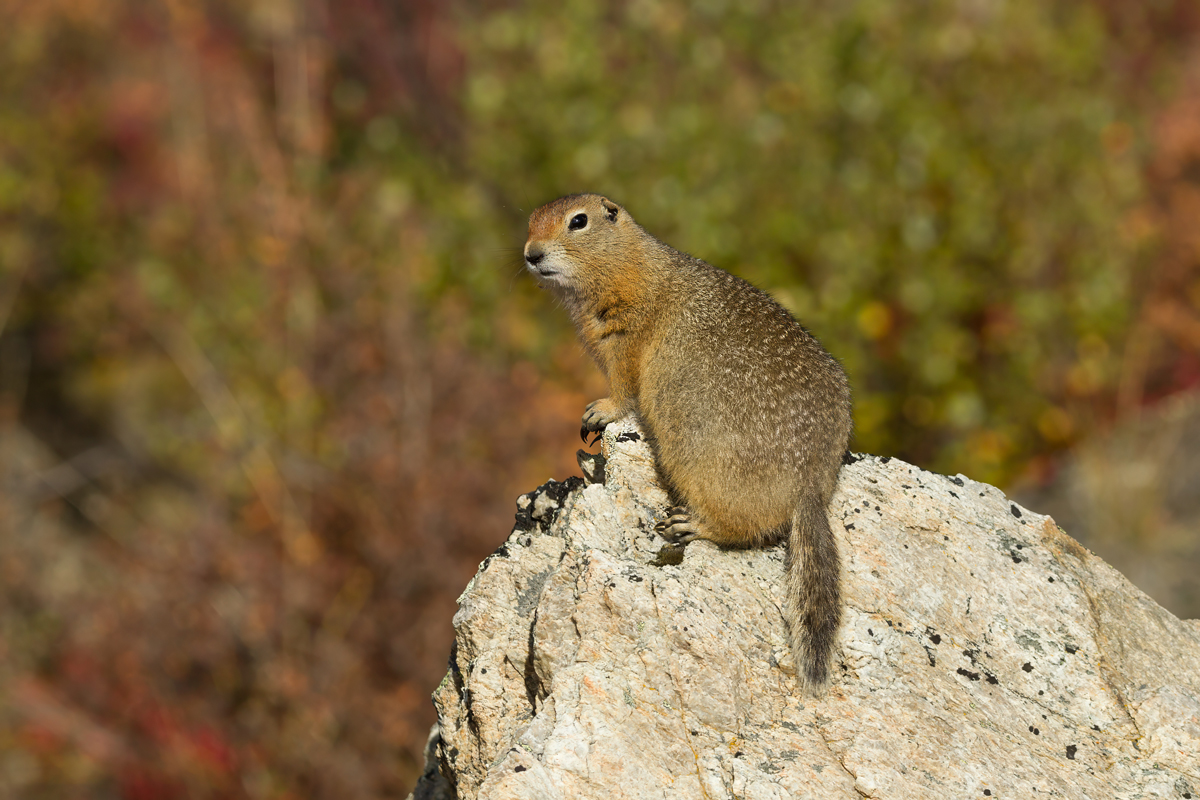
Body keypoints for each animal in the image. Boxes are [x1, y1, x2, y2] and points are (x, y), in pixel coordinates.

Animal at [523, 193, 853, 695]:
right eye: (530, 221)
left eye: (578, 221)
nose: (531, 253)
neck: (631, 265)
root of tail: (812, 486)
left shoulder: (624, 337)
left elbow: (623, 387)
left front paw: (599, 411)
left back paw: (690, 524)